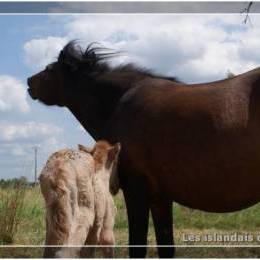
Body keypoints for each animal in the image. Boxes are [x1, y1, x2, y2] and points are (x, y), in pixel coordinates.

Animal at [27, 41, 260, 256]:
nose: (29, 81)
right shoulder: (160, 198)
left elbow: (137, 246)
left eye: (49, 69)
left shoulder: (136, 191)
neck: (121, 102)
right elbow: (166, 247)